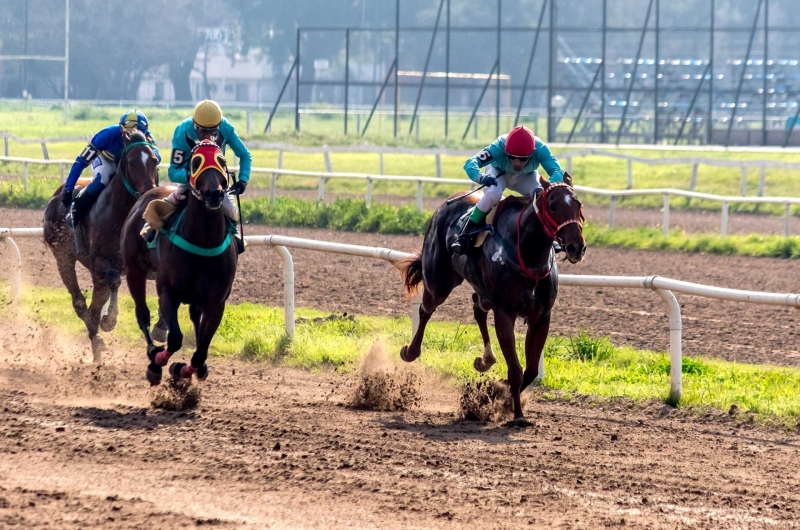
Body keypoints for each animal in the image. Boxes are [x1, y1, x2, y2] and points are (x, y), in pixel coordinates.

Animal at [43, 129, 159, 358]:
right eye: (131, 162)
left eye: (155, 160)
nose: (149, 193)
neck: (120, 214)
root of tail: (55, 196)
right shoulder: (100, 261)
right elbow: (114, 281)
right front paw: (110, 320)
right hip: (63, 257)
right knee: (80, 302)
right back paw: (96, 340)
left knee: (95, 302)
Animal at [119, 138, 238, 382]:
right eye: (195, 162)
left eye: (222, 160)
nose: (214, 194)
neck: (204, 242)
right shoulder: (168, 292)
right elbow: (174, 338)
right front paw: (159, 363)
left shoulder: (216, 302)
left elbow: (201, 351)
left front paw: (187, 370)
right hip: (134, 270)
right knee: (142, 314)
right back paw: (152, 352)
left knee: (194, 318)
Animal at [404, 175, 584, 418]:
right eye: (553, 206)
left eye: (578, 204)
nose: (576, 247)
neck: (528, 253)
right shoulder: (505, 312)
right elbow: (515, 370)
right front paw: (517, 414)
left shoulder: (541, 317)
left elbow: (530, 370)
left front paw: (496, 394)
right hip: (439, 281)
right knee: (425, 309)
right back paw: (411, 351)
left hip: (482, 291)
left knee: (477, 309)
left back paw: (485, 360)